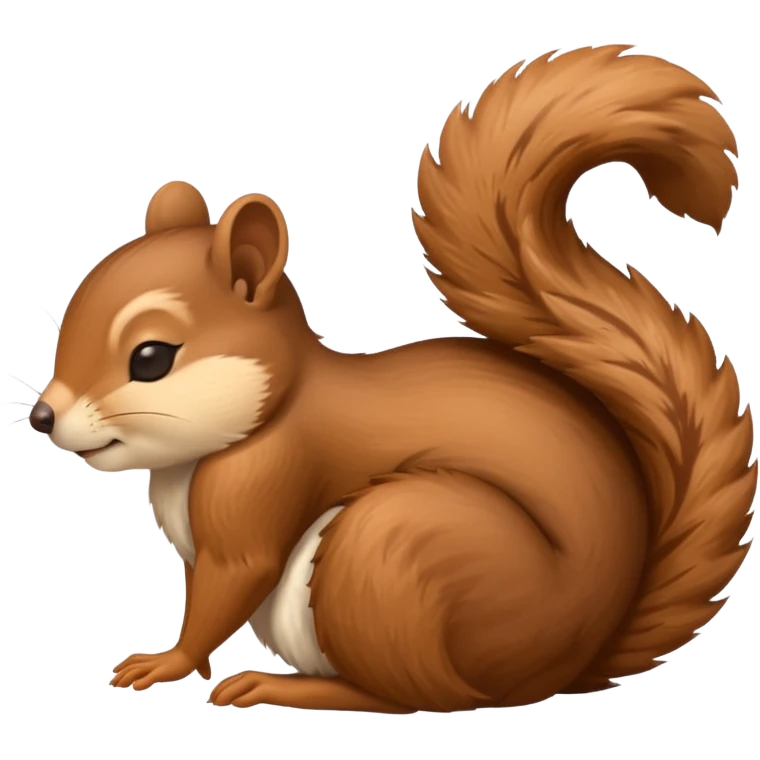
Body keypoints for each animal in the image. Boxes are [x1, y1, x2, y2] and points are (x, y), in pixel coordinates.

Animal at [31, 44, 754, 713]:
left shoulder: (269, 479)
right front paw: (190, 660)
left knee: (410, 695)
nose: (43, 417)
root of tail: (563, 663)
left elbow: (236, 576)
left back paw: (285, 686)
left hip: (391, 553)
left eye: (151, 358)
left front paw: (169, 661)